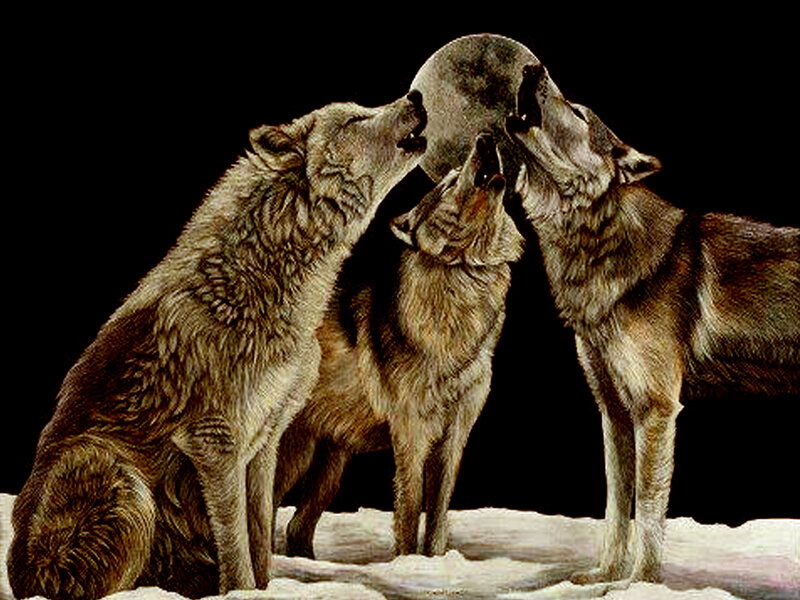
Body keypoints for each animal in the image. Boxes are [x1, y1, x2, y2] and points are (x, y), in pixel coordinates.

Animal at [8, 91, 427, 600]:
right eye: (354, 119)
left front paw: (265, 588)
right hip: (117, 475)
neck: (256, 283)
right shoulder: (214, 443)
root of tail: (20, 572)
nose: (416, 95)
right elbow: (236, 545)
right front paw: (240, 590)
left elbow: (259, 535)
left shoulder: (264, 440)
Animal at [273, 133, 524, 558]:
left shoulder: (453, 441)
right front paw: (407, 562)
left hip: (331, 466)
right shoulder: (411, 437)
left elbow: (437, 517)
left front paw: (435, 562)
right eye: (449, 181)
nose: (485, 138)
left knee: (296, 528)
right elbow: (408, 512)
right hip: (294, 456)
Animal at [505, 63, 800, 585]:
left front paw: (640, 581)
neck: (600, 239)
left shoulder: (657, 410)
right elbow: (616, 505)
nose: (533, 67)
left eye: (578, 112)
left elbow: (647, 506)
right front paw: (604, 576)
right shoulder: (615, 413)